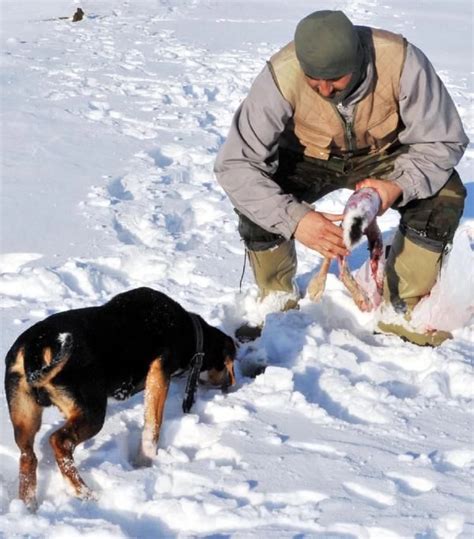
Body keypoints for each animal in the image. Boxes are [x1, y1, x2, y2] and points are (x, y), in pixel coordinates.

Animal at [4, 286, 236, 510]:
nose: (226, 386)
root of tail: (36, 345)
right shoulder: (159, 374)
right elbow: (152, 426)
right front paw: (145, 462)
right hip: (92, 413)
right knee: (59, 442)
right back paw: (84, 493)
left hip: (25, 418)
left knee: (28, 457)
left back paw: (28, 506)